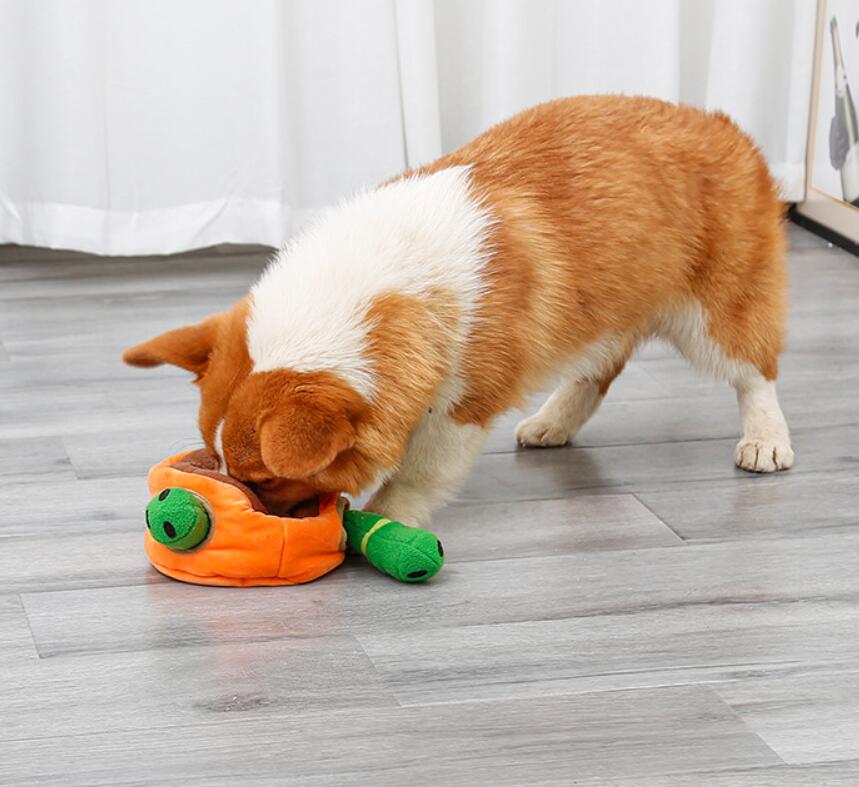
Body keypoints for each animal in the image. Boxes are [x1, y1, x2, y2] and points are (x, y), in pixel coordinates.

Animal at [124, 95, 794, 525]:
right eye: (217, 462)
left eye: (262, 479)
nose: (248, 514)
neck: (386, 292)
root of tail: (721, 125)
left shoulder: (463, 406)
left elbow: (420, 470)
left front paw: (386, 518)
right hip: (598, 310)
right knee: (597, 370)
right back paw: (553, 422)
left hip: (714, 314)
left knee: (754, 371)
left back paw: (766, 441)